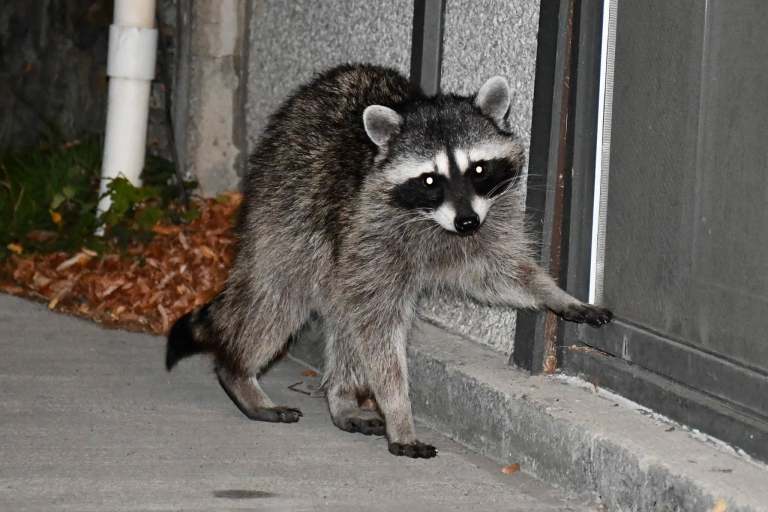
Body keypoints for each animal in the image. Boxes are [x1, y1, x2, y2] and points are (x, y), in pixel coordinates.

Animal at [166, 63, 612, 459]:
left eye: (479, 169)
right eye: (430, 179)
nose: (467, 221)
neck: (434, 222)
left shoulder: (485, 222)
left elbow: (500, 273)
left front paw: (554, 294)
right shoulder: (371, 233)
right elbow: (380, 335)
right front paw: (398, 410)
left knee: (343, 315)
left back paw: (341, 396)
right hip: (288, 209)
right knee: (279, 300)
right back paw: (240, 372)